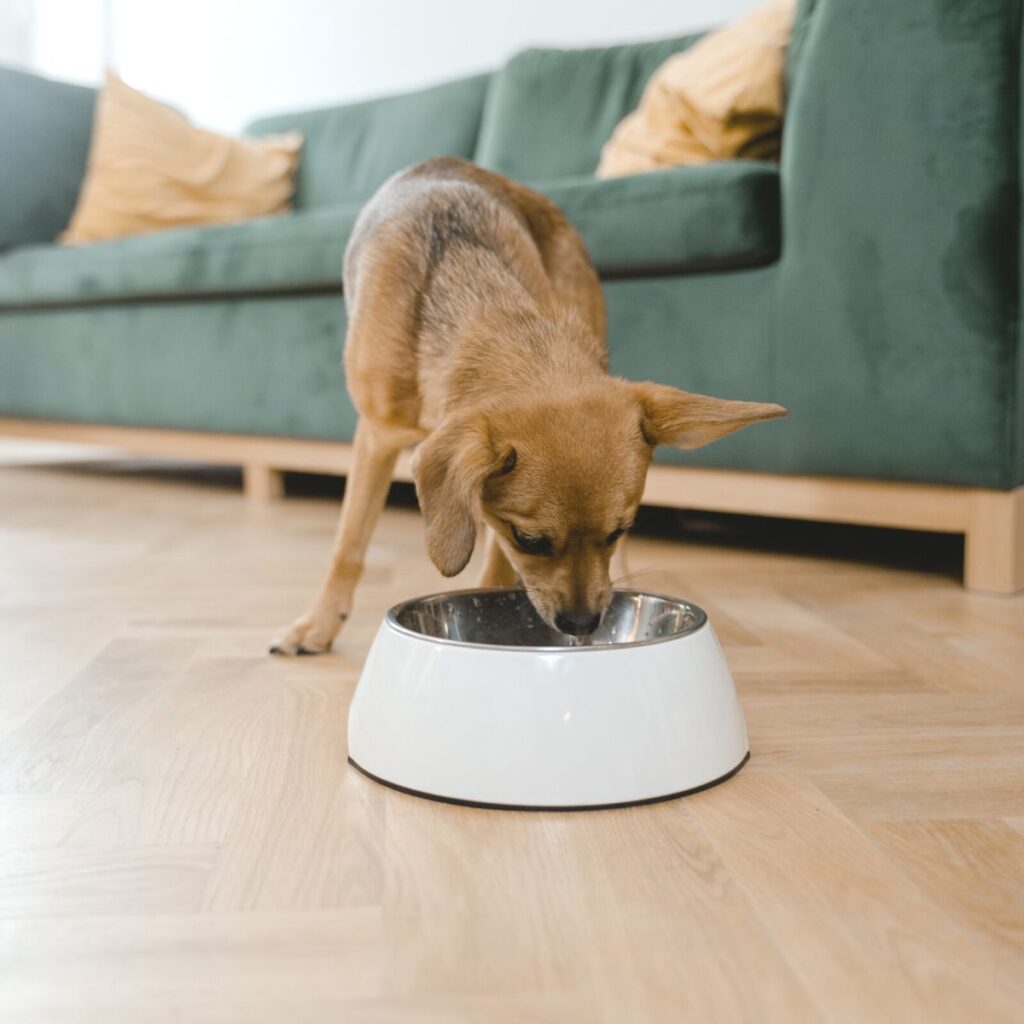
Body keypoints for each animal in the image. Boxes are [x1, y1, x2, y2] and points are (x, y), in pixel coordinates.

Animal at [270, 159, 782, 655]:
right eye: (530, 540)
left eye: (617, 531)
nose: (582, 624)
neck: (484, 309)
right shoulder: (376, 437)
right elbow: (348, 544)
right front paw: (318, 623)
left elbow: (493, 569)